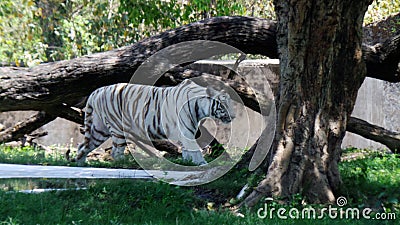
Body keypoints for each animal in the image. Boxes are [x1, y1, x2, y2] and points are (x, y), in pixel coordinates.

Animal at [69, 79, 234, 165]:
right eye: (224, 105)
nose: (233, 116)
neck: (200, 108)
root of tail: (96, 91)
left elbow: (188, 152)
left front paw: (188, 163)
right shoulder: (186, 131)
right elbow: (195, 150)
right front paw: (202, 165)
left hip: (99, 129)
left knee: (83, 145)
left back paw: (80, 164)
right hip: (116, 128)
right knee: (116, 152)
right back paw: (125, 164)